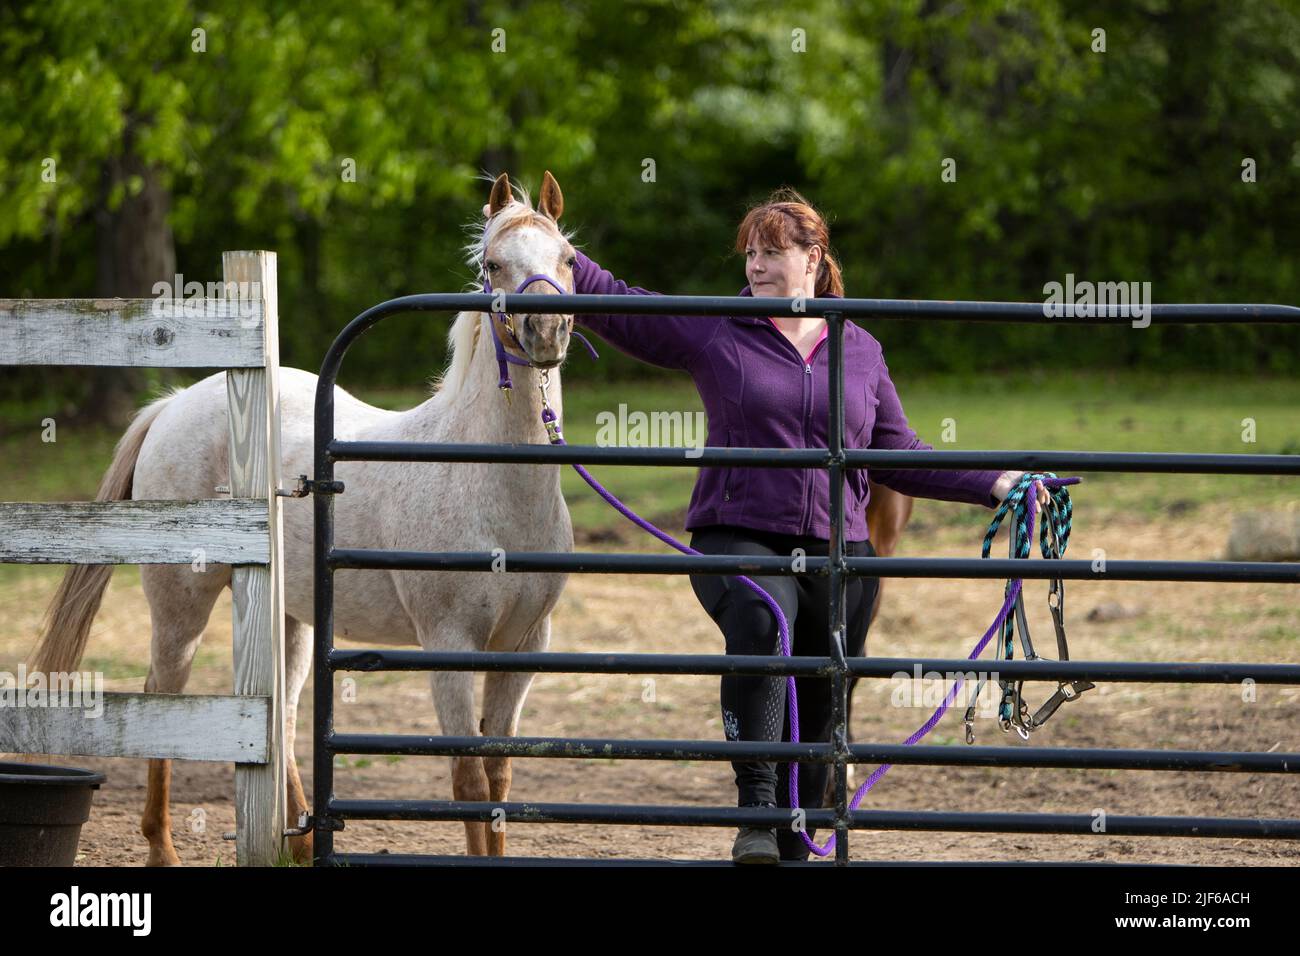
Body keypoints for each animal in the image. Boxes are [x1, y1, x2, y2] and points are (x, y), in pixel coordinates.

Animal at [28, 170, 579, 864]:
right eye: (493, 264)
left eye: (567, 257)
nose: (546, 330)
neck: (490, 483)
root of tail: (174, 405)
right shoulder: (449, 646)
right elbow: (469, 782)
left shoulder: (526, 646)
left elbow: (499, 778)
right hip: (183, 605)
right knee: (164, 698)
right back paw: (163, 848)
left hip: (289, 618)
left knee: (282, 719)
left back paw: (294, 839)